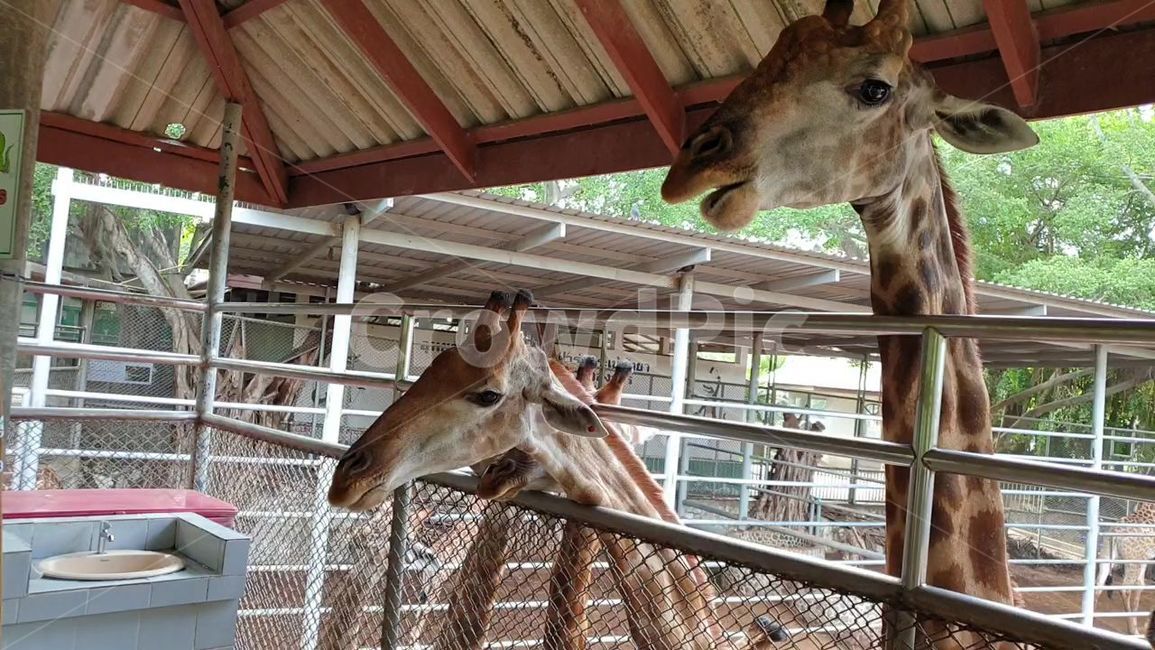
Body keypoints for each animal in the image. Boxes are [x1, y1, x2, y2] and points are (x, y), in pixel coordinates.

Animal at [1097, 501, 1155, 635]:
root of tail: (1115, 533)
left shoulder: (1145, 559)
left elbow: (1140, 585)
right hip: (1132, 562)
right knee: (1124, 589)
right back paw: (1133, 630)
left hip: (1106, 555)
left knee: (1097, 586)